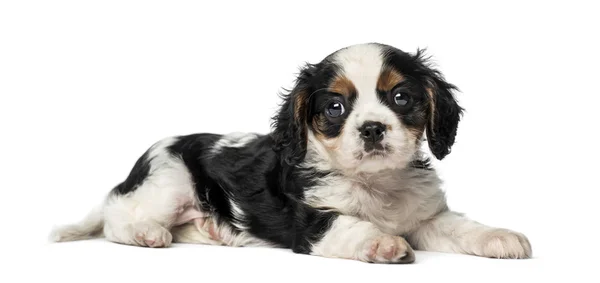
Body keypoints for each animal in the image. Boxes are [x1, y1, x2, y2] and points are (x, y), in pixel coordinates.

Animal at [49, 43, 532, 266]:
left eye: (401, 97)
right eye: (335, 108)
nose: (372, 128)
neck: (375, 183)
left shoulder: (426, 218)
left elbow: (460, 228)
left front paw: (501, 236)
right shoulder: (314, 221)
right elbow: (351, 226)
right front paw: (382, 242)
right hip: (168, 182)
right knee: (116, 217)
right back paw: (147, 233)